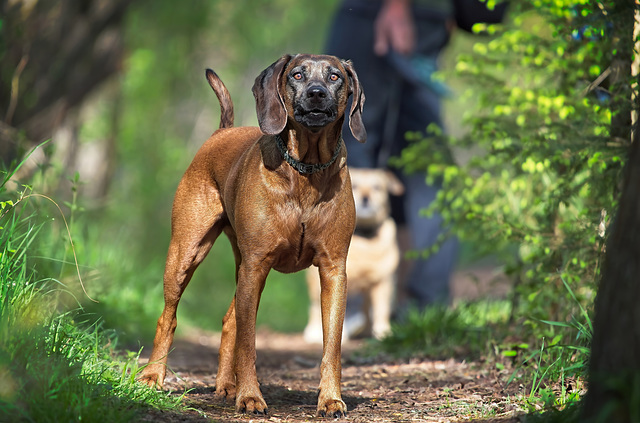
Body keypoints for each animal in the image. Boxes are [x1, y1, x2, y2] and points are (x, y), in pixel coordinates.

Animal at [141, 53, 368, 420]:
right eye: (297, 74)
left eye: (335, 76)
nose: (317, 93)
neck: (306, 170)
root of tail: (221, 131)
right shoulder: (256, 265)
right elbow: (248, 343)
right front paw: (250, 397)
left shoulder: (334, 270)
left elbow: (331, 344)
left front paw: (331, 399)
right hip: (187, 253)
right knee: (168, 317)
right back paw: (152, 376)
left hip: (241, 267)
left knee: (229, 320)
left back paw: (225, 385)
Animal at [306, 167, 404, 342]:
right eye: (355, 186)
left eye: (377, 187)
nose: (366, 198)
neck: (364, 240)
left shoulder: (383, 281)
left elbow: (381, 310)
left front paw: (383, 332)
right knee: (315, 306)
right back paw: (314, 331)